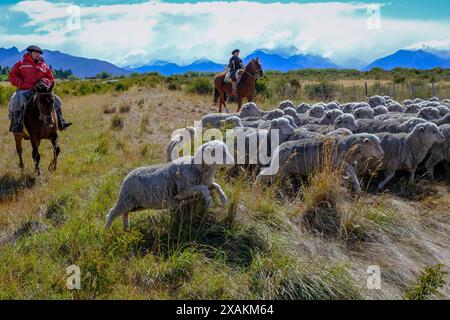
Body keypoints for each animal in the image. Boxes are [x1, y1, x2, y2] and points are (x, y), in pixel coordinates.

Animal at [106, 141, 236, 229]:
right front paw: (210, 202)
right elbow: (204, 189)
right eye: (220, 153)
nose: (233, 162)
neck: (196, 167)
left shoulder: (206, 183)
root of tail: (126, 177)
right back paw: (107, 229)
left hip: (137, 205)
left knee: (125, 213)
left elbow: (216, 186)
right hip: (126, 200)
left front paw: (223, 199)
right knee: (113, 211)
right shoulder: (183, 190)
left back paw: (126, 227)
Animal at [256, 133, 384, 192]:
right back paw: (256, 186)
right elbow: (352, 173)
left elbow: (349, 174)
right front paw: (357, 188)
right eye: (371, 144)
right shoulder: (339, 163)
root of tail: (278, 149)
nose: (382, 154)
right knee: (262, 175)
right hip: (278, 168)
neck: (347, 147)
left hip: (283, 170)